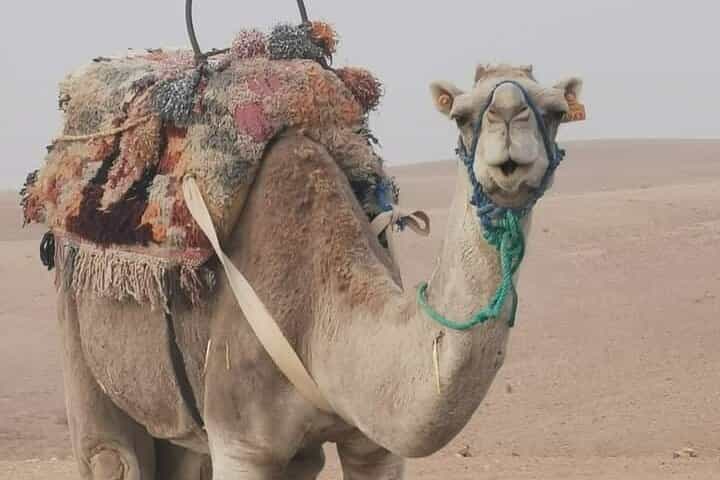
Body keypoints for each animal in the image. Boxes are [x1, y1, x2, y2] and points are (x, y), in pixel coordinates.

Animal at [56, 63, 584, 479]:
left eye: (556, 112)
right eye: (462, 115)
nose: (509, 117)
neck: (320, 314)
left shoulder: (374, 445)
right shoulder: (241, 443)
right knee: (110, 456)